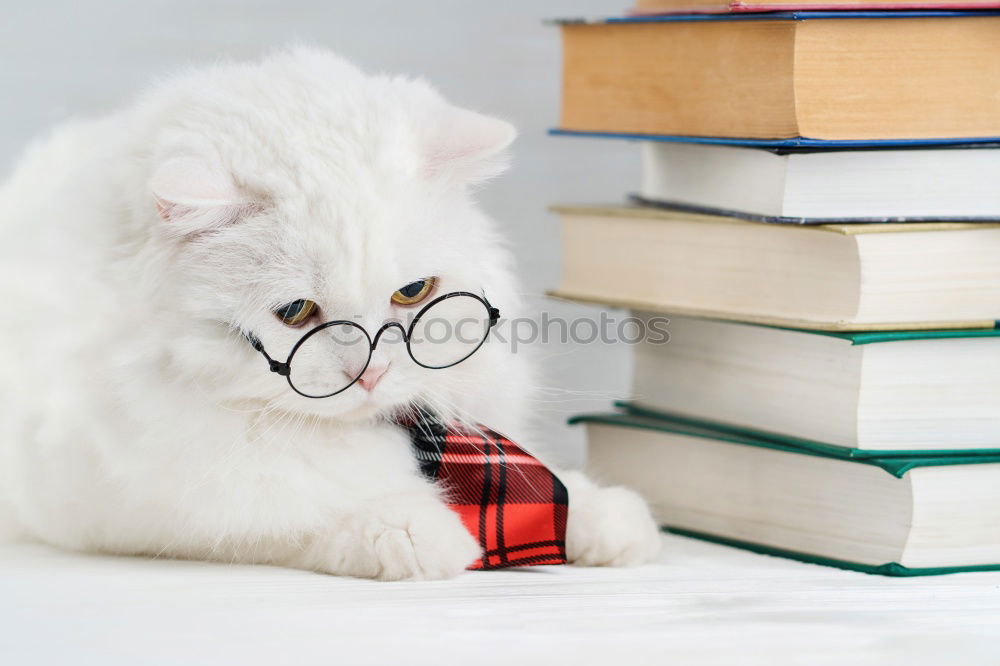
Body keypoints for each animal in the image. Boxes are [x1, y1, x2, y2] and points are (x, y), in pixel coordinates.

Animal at [0, 48, 664, 576]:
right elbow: (292, 511)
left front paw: (605, 517)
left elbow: (546, 481)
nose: (371, 375)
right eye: (296, 311)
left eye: (412, 291)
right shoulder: (124, 501)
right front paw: (414, 530)